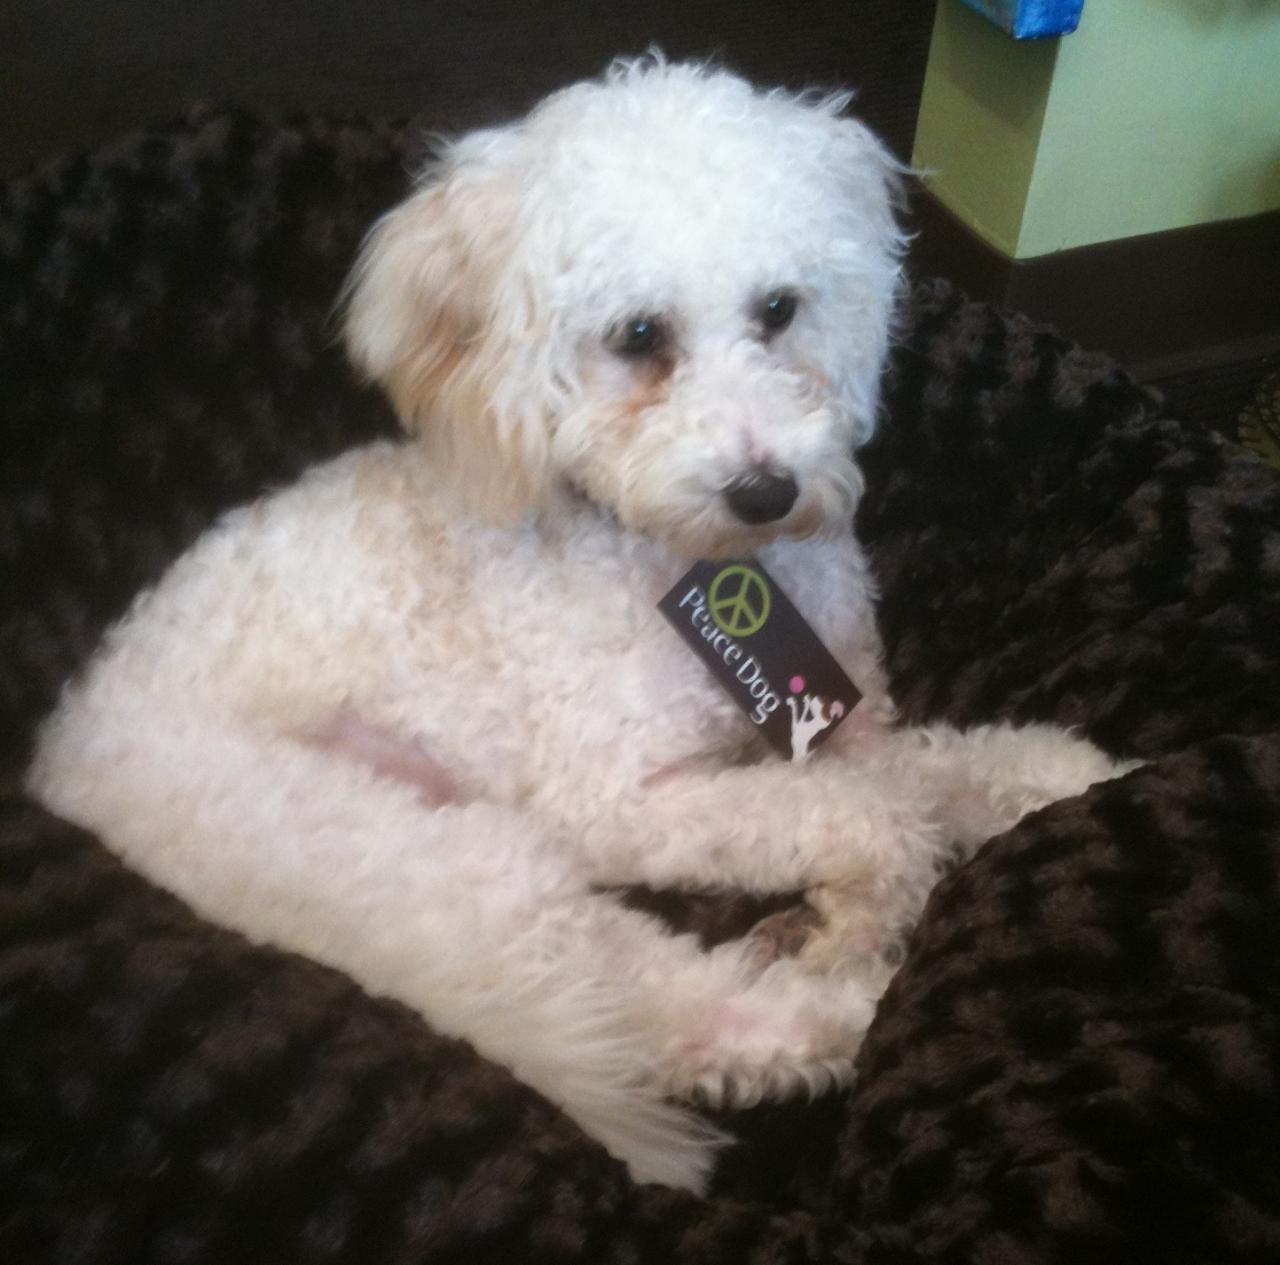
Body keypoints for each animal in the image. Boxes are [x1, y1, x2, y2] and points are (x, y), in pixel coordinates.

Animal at [27, 58, 1131, 1192]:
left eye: (779, 309)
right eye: (638, 335)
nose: (766, 490)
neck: (700, 571)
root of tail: (62, 757)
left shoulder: (842, 725)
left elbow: (922, 774)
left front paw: (1066, 776)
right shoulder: (615, 801)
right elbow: (873, 817)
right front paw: (863, 915)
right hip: (451, 866)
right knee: (665, 1009)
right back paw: (842, 1007)